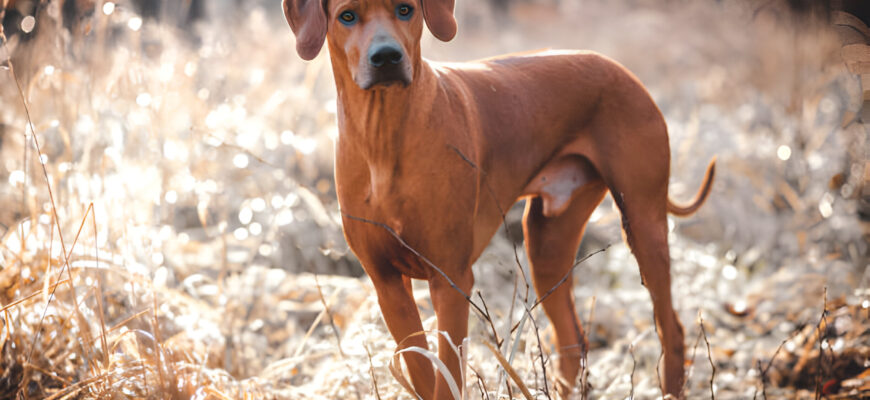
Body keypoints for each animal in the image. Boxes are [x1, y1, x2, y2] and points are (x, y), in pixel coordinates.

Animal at [282, 1, 720, 398]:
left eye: (405, 9)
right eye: (347, 16)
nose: (387, 56)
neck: (384, 134)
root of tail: (619, 68)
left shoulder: (450, 281)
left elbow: (447, 379)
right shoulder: (387, 283)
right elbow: (423, 372)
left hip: (643, 221)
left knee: (671, 329)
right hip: (546, 244)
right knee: (572, 341)